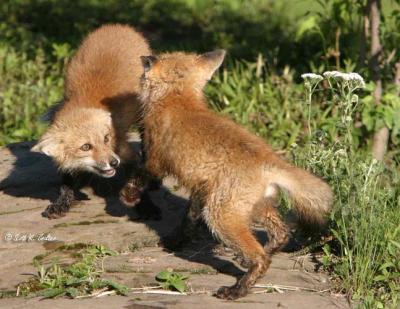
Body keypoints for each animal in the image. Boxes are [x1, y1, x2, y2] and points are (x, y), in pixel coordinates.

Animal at [32, 24, 160, 219]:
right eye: (86, 147)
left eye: (106, 139)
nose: (113, 163)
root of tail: (119, 26)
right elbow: (66, 185)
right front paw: (61, 204)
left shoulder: (125, 152)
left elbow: (135, 181)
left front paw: (146, 206)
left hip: (144, 115)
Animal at [139, 50, 332, 298]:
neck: (178, 98)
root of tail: (269, 160)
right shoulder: (202, 187)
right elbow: (188, 219)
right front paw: (176, 241)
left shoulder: (155, 159)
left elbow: (139, 178)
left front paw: (129, 197)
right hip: (252, 207)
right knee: (281, 234)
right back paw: (255, 257)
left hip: (220, 215)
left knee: (261, 257)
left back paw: (237, 289)